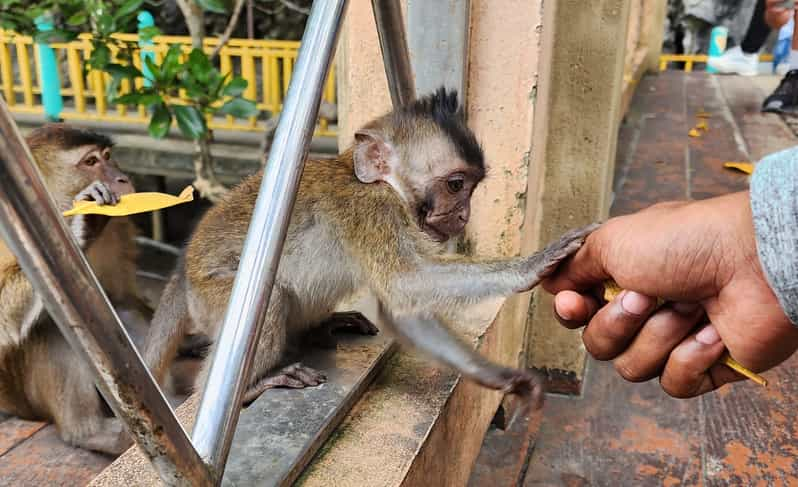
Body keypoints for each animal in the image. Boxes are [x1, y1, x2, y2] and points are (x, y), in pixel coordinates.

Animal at [144, 88, 596, 412]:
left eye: (472, 187)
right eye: (455, 185)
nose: (464, 213)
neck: (381, 184)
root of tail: (182, 273)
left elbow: (404, 309)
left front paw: (500, 378)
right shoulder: (371, 210)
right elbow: (404, 282)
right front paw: (531, 265)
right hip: (210, 297)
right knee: (269, 298)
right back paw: (251, 385)